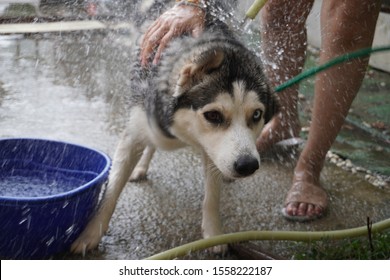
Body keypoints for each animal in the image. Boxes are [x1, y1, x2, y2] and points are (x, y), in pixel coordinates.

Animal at [71, 17, 278, 255]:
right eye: (213, 115)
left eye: (256, 115)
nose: (247, 165)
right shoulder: (135, 131)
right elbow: (112, 189)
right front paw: (90, 234)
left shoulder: (212, 150)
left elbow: (212, 195)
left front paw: (214, 234)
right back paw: (140, 167)